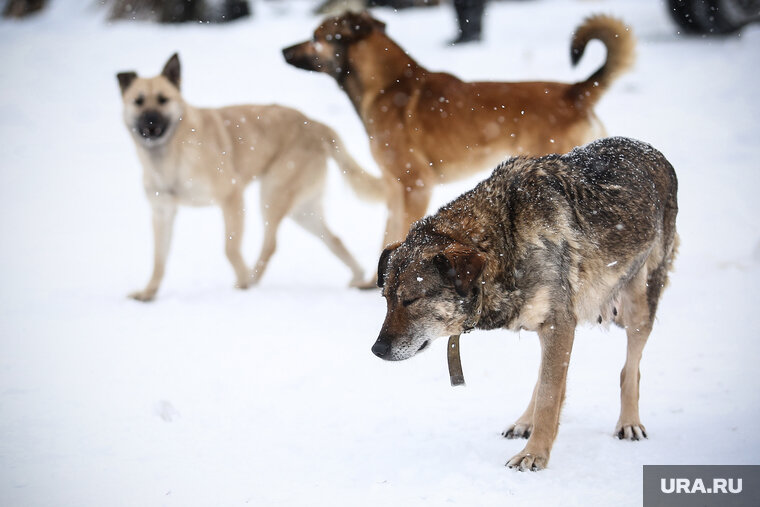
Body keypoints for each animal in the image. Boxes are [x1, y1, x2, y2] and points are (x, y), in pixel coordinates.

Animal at [284, 11, 636, 246]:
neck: (388, 87)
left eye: (315, 37)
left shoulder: (415, 185)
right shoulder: (395, 188)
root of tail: (575, 92)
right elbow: (387, 234)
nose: (283, 50)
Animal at [372, 139, 676, 472]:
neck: (506, 240)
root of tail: (653, 151)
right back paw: (524, 422)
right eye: (386, 299)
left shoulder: (559, 324)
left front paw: (535, 455)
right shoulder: (555, 326)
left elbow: (549, 398)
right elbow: (548, 388)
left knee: (629, 369)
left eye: (411, 299)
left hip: (638, 307)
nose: (376, 350)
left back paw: (629, 422)